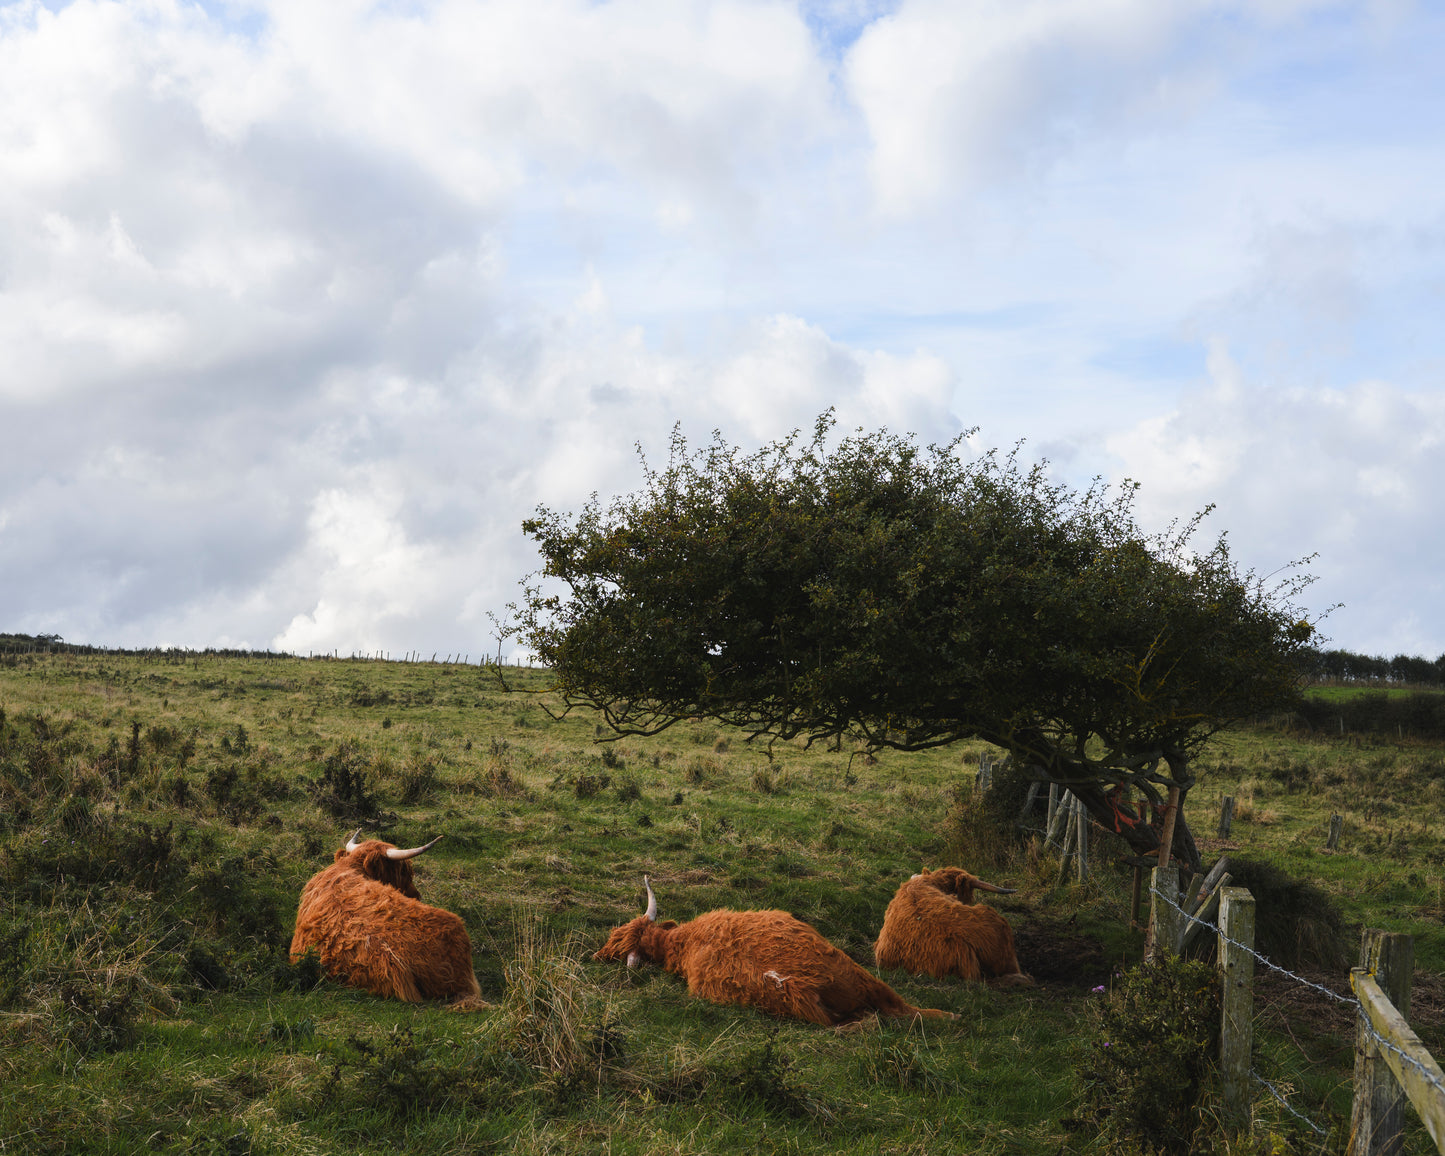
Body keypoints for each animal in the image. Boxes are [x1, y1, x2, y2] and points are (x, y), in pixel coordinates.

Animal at [593, 876, 955, 1027]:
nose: (596, 956)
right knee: (901, 1007)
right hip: (864, 975)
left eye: (615, 940)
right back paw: (950, 1016)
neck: (685, 941)